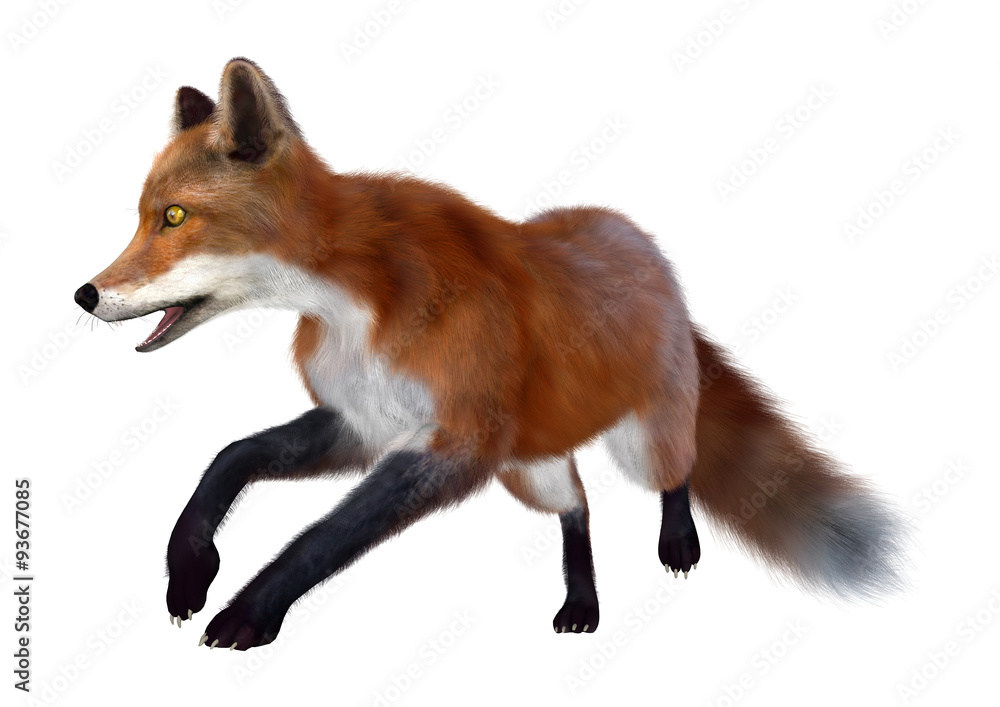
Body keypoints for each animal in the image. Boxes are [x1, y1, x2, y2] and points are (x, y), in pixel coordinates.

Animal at [74, 58, 909, 651]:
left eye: (174, 217)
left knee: (678, 472)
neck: (356, 309)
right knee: (577, 507)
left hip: (637, 442)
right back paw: (582, 603)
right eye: (143, 217)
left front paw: (252, 607)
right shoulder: (366, 422)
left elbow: (325, 533)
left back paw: (676, 541)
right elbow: (230, 457)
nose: (84, 295)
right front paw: (190, 568)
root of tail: (638, 238)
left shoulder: (458, 440)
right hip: (529, 464)